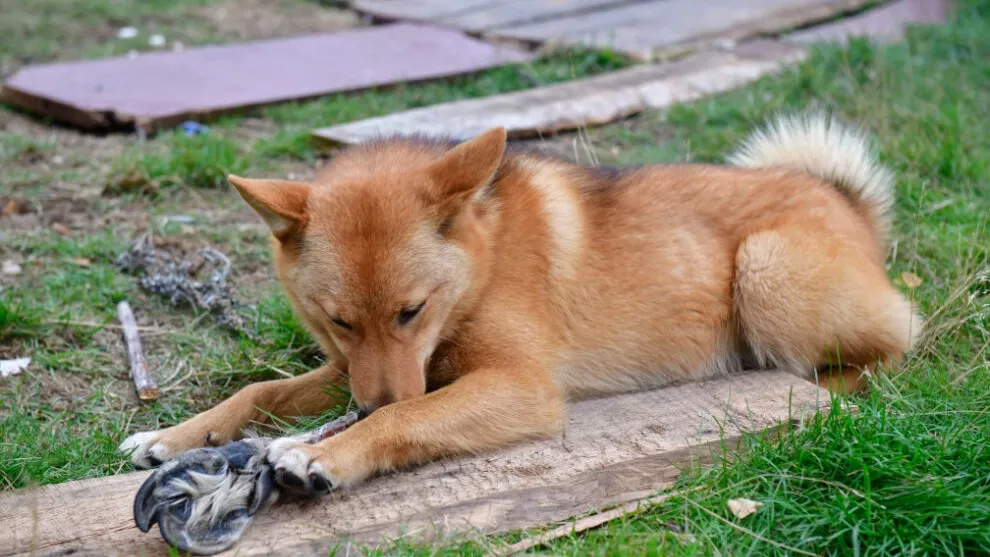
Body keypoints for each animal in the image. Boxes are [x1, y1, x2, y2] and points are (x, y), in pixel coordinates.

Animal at [122, 114, 924, 496]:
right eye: (338, 321)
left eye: (412, 310)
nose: (368, 402)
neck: (479, 271)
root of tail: (843, 200)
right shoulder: (352, 368)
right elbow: (261, 390)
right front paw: (177, 434)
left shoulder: (519, 386)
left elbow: (409, 417)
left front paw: (328, 451)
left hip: (765, 271)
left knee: (891, 352)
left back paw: (823, 388)